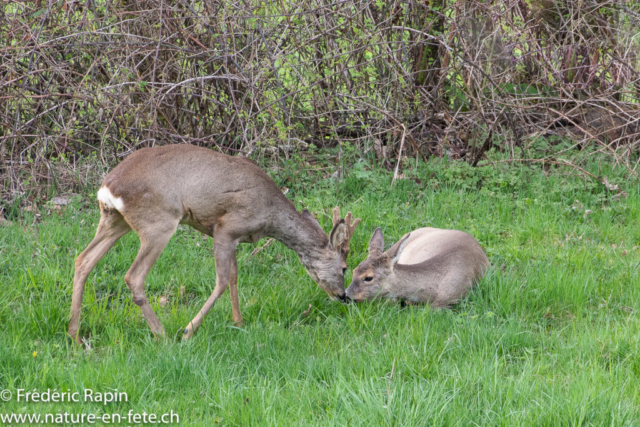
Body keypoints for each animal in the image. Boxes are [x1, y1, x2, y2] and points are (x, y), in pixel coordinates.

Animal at [70, 145, 362, 342]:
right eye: (344, 267)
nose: (343, 296)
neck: (270, 215)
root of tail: (108, 187)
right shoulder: (226, 228)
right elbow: (222, 280)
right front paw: (188, 330)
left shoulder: (231, 237)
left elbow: (233, 277)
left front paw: (239, 323)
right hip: (158, 222)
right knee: (133, 276)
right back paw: (162, 334)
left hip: (114, 219)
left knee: (82, 260)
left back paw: (75, 335)